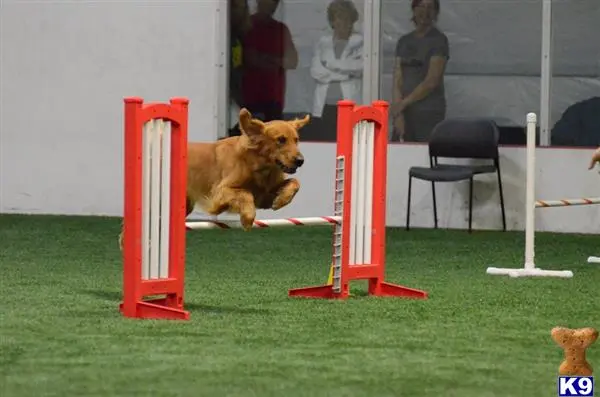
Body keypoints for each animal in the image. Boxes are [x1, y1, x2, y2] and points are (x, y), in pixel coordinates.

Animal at [119, 108, 312, 249]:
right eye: (281, 140)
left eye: (296, 140)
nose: (301, 161)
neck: (259, 166)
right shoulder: (221, 192)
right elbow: (245, 194)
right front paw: (247, 218)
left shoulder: (264, 195)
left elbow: (295, 183)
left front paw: (281, 200)